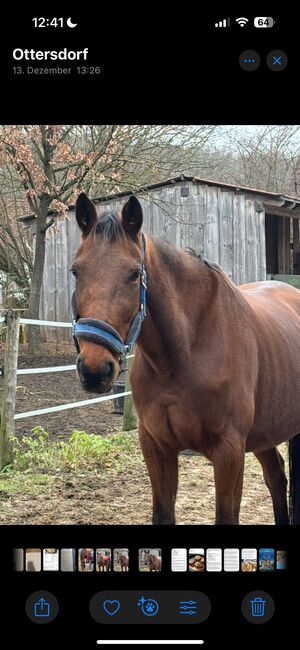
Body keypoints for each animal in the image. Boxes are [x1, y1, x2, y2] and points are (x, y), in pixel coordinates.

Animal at [71, 190, 300, 524]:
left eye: (134, 274)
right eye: (76, 270)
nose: (94, 369)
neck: (184, 354)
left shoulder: (229, 451)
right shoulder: (157, 448)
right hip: (265, 432)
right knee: (276, 476)